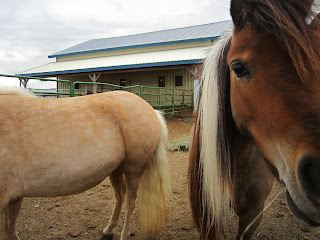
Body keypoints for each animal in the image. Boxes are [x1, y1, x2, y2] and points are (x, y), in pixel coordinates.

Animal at [0, 88, 172, 240]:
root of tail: (151, 110)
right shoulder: (14, 198)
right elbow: (10, 230)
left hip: (133, 169)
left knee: (130, 201)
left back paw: (123, 234)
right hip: (116, 169)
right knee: (120, 195)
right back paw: (107, 231)